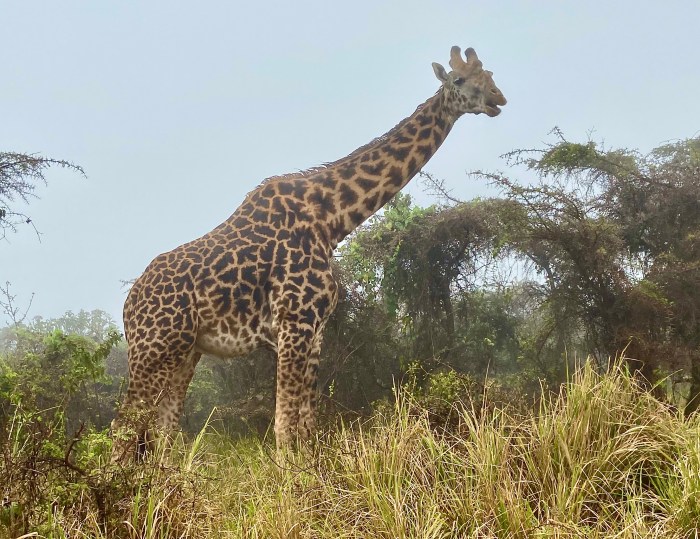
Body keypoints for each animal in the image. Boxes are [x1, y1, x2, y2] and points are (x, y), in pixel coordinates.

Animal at [111, 45, 506, 461]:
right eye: (460, 80)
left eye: (491, 75)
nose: (498, 99)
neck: (330, 221)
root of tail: (128, 304)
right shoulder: (293, 323)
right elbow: (284, 427)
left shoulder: (315, 331)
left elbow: (307, 427)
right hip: (154, 348)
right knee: (123, 426)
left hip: (185, 352)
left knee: (162, 428)